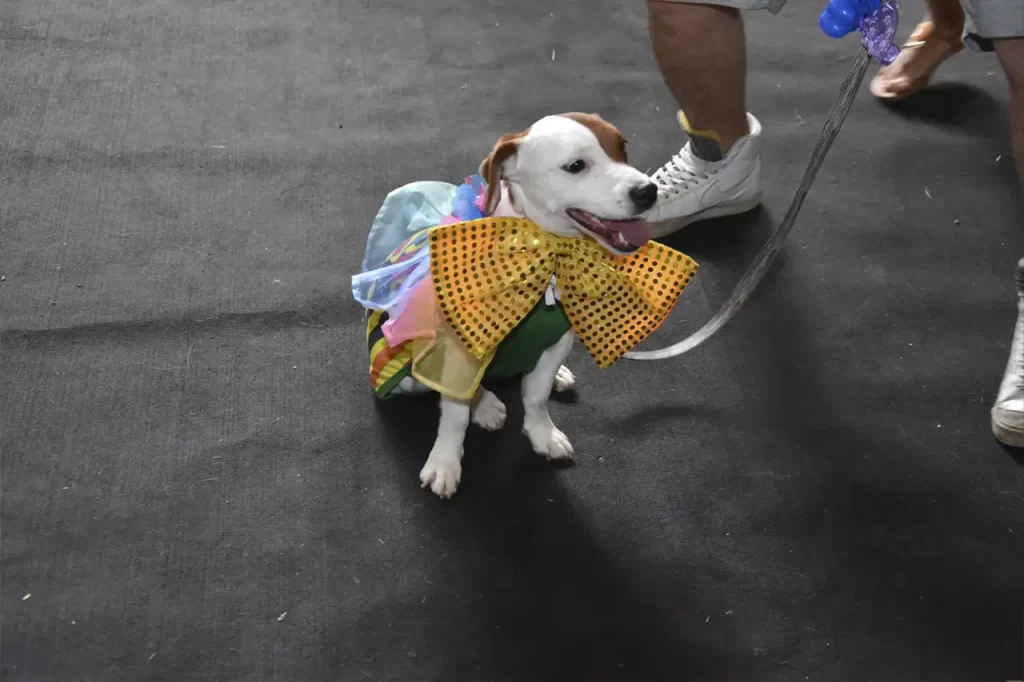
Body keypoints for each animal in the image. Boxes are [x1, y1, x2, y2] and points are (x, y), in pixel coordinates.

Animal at [364, 110, 659, 493]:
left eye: (622, 148)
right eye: (576, 166)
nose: (648, 191)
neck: (545, 253)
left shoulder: (557, 342)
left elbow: (536, 397)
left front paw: (543, 435)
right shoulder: (459, 351)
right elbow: (455, 414)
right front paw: (445, 463)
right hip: (406, 373)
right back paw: (486, 405)